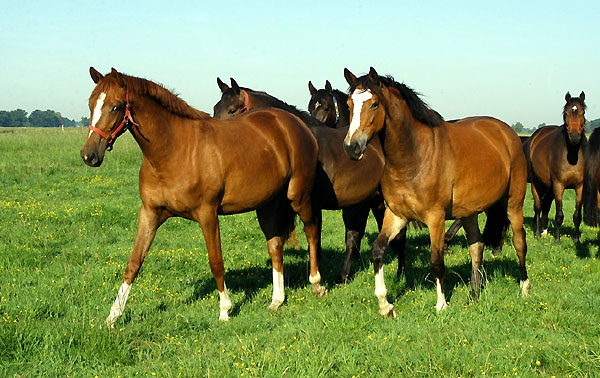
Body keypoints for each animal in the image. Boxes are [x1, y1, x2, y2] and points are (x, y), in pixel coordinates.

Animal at [80, 68, 326, 328]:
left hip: (297, 196)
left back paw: (316, 284)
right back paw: (277, 300)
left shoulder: (207, 214)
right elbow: (134, 263)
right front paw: (112, 316)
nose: (89, 155)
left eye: (115, 107)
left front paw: (225, 310)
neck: (174, 151)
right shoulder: (149, 213)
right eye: (91, 104)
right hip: (267, 205)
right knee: (275, 246)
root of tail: (295, 124)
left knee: (311, 231)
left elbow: (216, 262)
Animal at [342, 68, 528, 316]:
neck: (415, 156)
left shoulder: (435, 218)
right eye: (349, 104)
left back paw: (524, 287)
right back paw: (473, 294)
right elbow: (378, 250)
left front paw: (441, 305)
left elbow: (437, 262)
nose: (351, 147)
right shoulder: (397, 215)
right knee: (476, 246)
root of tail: (508, 133)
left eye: (374, 104)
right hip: (469, 212)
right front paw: (385, 305)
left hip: (513, 203)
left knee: (519, 242)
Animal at [524, 93, 584, 244]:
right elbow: (559, 214)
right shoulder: (558, 185)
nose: (574, 136)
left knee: (545, 206)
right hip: (536, 183)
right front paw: (557, 240)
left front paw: (576, 240)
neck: (572, 157)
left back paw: (545, 231)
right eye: (566, 113)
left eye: (583, 112)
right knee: (538, 207)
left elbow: (577, 215)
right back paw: (538, 233)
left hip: (548, 186)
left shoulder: (580, 187)